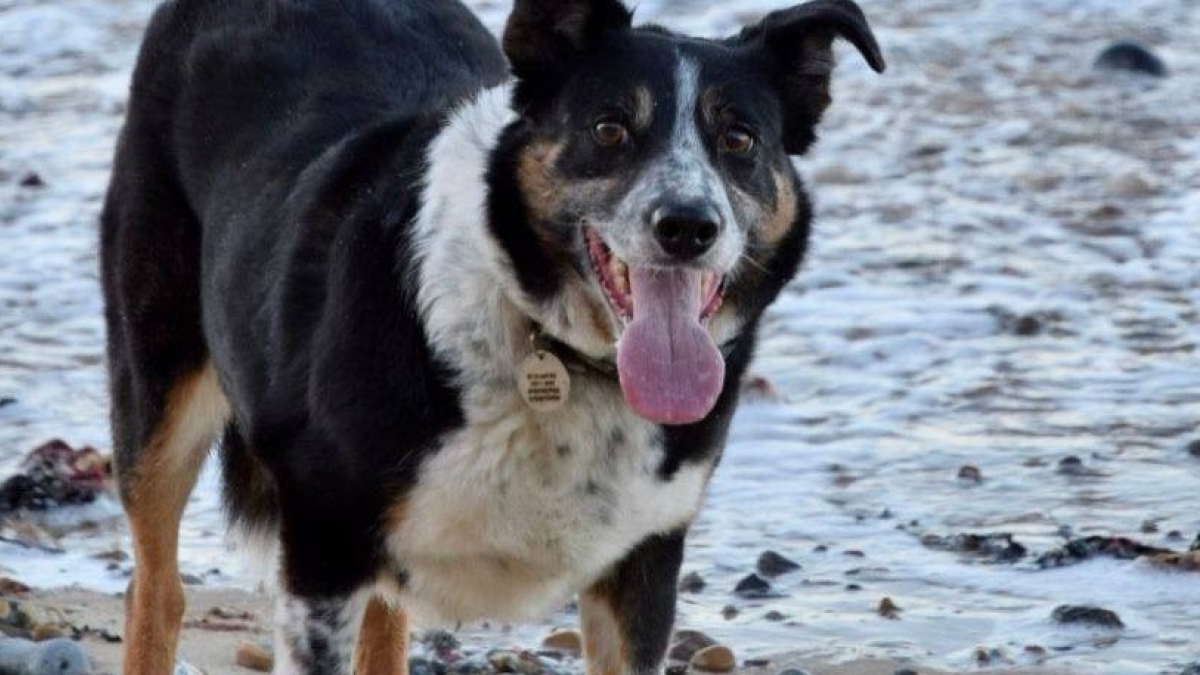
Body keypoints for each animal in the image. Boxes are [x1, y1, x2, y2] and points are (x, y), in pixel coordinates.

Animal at [98, 0, 883, 667]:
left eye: (738, 139)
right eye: (609, 128)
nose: (688, 226)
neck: (554, 340)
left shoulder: (644, 564)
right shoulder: (322, 549)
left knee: (384, 622)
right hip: (158, 392)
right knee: (155, 590)